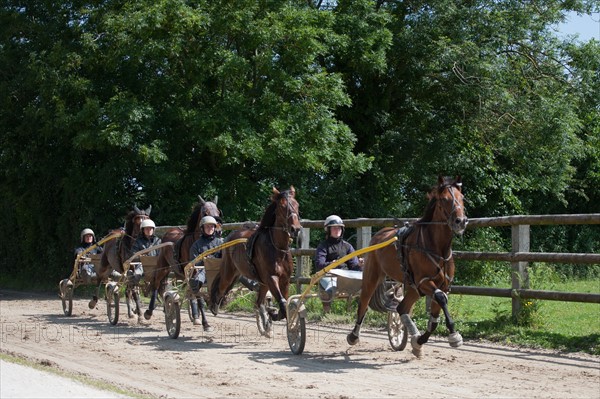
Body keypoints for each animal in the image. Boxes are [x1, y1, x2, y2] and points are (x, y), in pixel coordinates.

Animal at [212, 187, 304, 334]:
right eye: (282, 206)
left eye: (297, 205)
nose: (295, 229)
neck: (277, 247)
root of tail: (231, 235)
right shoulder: (271, 278)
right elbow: (282, 302)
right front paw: (273, 314)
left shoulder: (285, 280)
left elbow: (284, 304)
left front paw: (273, 315)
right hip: (230, 271)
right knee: (221, 286)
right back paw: (214, 305)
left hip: (260, 280)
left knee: (258, 302)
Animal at [346, 177, 468, 358]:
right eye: (444, 199)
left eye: (462, 197)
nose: (461, 221)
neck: (436, 247)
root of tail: (379, 234)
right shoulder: (424, 282)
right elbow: (440, 298)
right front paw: (454, 335)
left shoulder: (442, 285)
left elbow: (434, 320)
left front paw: (418, 342)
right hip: (372, 276)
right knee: (363, 304)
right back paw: (354, 336)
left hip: (412, 288)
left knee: (401, 307)